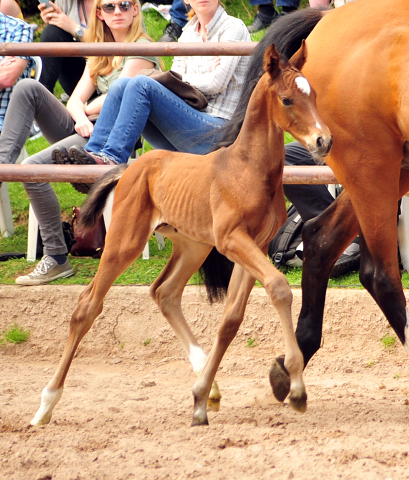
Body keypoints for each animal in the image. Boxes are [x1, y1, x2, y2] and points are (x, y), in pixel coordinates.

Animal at [31, 44, 332, 428]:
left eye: (315, 95)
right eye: (287, 99)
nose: (324, 140)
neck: (249, 170)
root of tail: (129, 168)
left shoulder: (256, 244)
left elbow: (231, 319)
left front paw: (201, 398)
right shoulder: (232, 241)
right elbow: (278, 287)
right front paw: (295, 388)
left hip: (193, 246)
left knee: (165, 292)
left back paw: (209, 384)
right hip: (124, 243)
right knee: (87, 306)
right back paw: (45, 405)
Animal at [212, 0, 408, 402]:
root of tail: (326, 18)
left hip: (388, 170)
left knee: (320, 237)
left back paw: (293, 360)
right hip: (373, 166)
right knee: (380, 274)